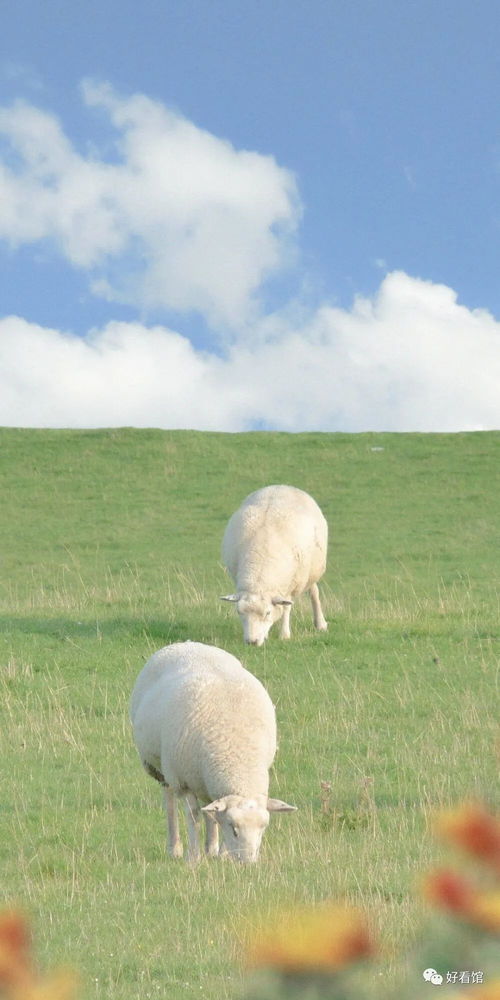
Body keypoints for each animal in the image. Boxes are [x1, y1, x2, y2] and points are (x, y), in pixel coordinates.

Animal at [130, 644, 296, 864]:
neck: (238, 757)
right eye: (234, 829)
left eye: (263, 828)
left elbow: (214, 815)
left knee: (209, 809)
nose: (248, 863)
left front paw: (221, 854)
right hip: (162, 769)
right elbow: (193, 817)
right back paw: (175, 848)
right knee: (170, 802)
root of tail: (185, 644)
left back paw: (211, 848)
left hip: (202, 779)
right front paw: (193, 857)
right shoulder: (183, 780)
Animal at [221, 486, 326, 644]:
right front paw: (266, 635)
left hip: (311, 571)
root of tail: (282, 486)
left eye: (268, 613)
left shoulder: (290, 586)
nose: (252, 642)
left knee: (314, 592)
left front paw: (284, 635)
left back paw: (320, 624)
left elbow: (286, 609)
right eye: (239, 612)